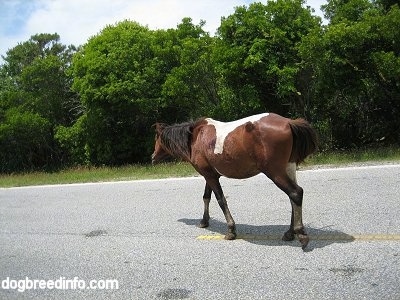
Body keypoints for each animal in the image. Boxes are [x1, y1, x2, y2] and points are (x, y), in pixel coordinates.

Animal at [152, 112, 318, 248]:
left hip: (275, 172)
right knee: (292, 197)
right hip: (288, 168)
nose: (152, 157)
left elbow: (221, 200)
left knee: (295, 193)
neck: (196, 137)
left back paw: (300, 233)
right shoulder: (209, 175)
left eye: (156, 138)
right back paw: (290, 233)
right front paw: (204, 221)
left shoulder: (210, 176)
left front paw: (231, 230)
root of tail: (288, 122)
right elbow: (206, 197)